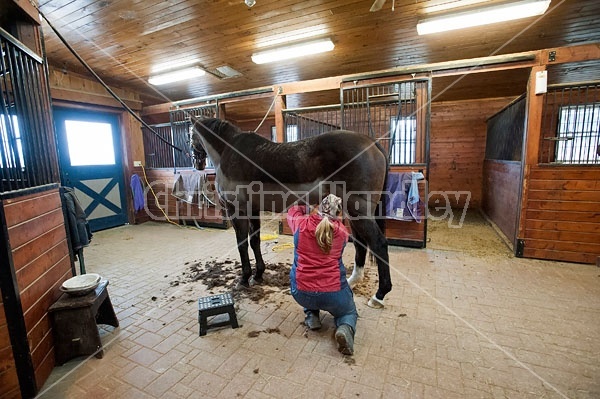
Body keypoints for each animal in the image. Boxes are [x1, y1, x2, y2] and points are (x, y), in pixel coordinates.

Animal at [190, 118, 392, 306]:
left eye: (191, 135)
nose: (197, 162)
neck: (229, 149)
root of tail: (371, 142)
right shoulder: (253, 210)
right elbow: (255, 241)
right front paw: (258, 275)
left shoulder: (236, 210)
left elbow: (242, 245)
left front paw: (244, 279)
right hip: (354, 212)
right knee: (361, 244)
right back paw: (352, 281)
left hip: (358, 210)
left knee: (378, 243)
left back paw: (379, 295)